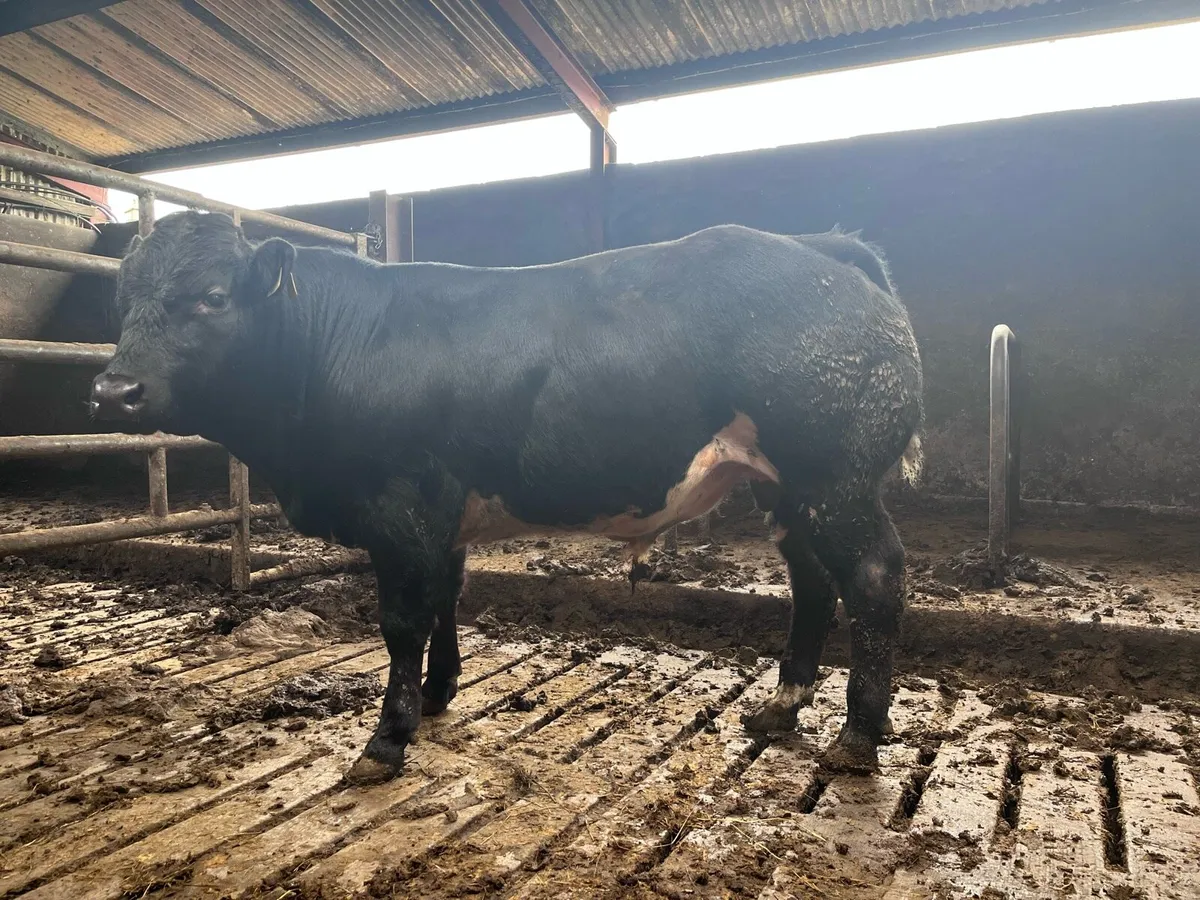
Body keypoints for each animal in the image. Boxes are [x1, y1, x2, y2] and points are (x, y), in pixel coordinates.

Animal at [91, 212, 924, 784]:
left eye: (211, 297)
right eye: (124, 299)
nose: (113, 390)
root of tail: (819, 246)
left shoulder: (402, 509)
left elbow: (402, 622)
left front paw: (386, 740)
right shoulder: (441, 518)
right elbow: (444, 603)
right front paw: (436, 694)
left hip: (835, 478)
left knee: (873, 579)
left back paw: (857, 737)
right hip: (786, 489)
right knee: (813, 583)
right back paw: (780, 707)